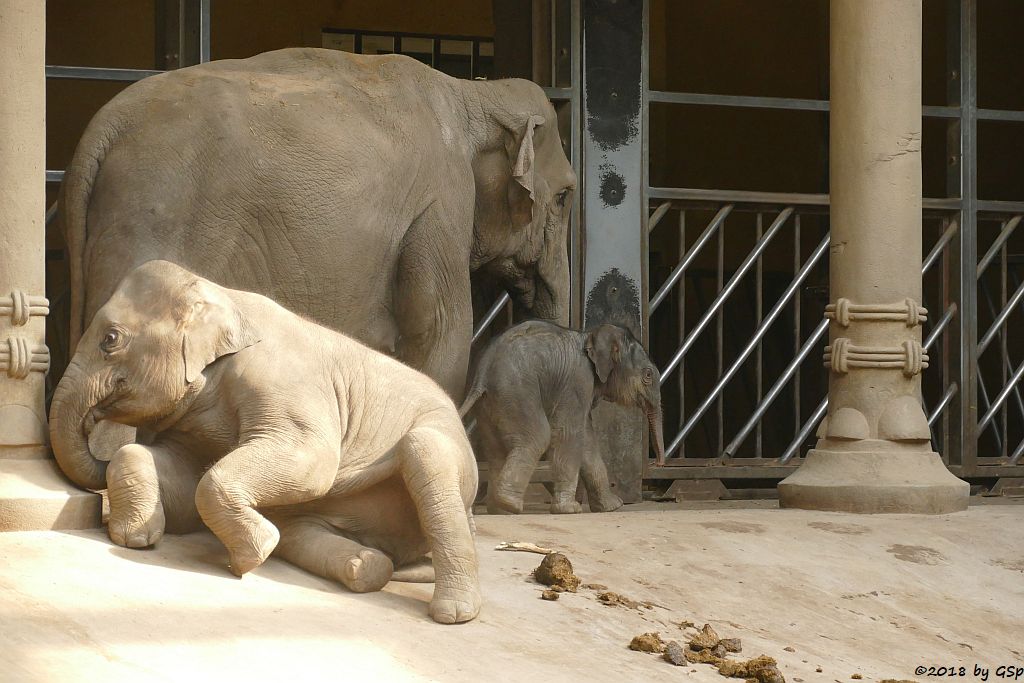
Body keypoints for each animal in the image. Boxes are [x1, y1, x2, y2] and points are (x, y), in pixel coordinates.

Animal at [48, 262, 479, 626]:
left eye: (110, 339)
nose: (91, 420)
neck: (224, 297)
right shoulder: (193, 421)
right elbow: (180, 483)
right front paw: (136, 538)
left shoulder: (279, 378)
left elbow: (312, 462)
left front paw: (250, 556)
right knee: (300, 532)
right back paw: (366, 566)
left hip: (452, 458)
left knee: (425, 450)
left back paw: (454, 613)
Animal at [58, 46, 577, 401]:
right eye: (566, 197)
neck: (471, 91)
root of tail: (102, 128)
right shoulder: (442, 200)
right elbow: (439, 331)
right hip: (151, 211)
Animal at [462, 323, 667, 516]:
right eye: (648, 375)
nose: (656, 464)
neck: (589, 335)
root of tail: (482, 373)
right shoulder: (578, 382)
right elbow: (567, 433)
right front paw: (570, 509)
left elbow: (587, 442)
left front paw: (612, 507)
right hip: (516, 391)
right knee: (538, 436)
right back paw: (509, 504)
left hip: (490, 404)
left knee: (495, 449)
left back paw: (499, 509)